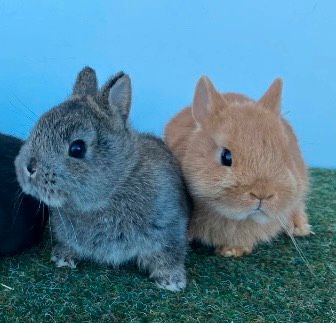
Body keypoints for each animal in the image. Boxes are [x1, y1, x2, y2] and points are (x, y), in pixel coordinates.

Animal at [15, 67, 189, 292]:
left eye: (77, 148)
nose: (28, 168)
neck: (116, 187)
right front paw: (62, 258)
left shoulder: (169, 229)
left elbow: (167, 254)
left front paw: (172, 281)